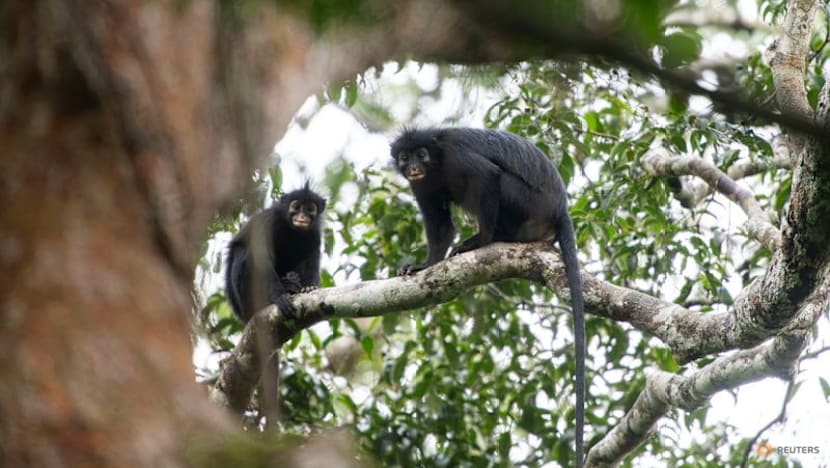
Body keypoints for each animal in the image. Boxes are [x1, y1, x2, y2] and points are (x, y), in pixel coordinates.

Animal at [225, 183, 326, 322]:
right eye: (296, 207)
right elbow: (262, 259)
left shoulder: (314, 234)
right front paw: (279, 297)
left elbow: (312, 259)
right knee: (242, 252)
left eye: (310, 209)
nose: (302, 217)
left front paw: (309, 287)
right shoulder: (268, 221)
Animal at [391, 127, 586, 468]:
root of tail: (560, 207)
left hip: (529, 204)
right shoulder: (422, 185)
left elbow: (487, 176)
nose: (413, 165)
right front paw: (424, 265)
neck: (436, 164)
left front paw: (480, 240)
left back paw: (493, 237)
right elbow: (441, 226)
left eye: (421, 154)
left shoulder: (456, 155)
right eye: (405, 157)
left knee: (502, 181)